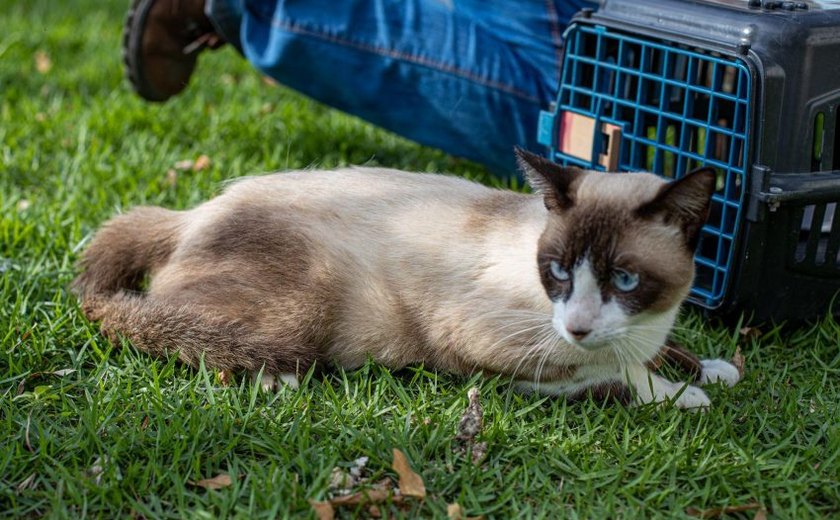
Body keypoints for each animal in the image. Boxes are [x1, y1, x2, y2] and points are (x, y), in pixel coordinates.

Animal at [74, 148, 740, 408]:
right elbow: (616, 375)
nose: (576, 326)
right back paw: (275, 378)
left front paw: (713, 369)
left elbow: (663, 353)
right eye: (555, 272)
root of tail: (190, 213)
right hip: (311, 296)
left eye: (624, 280)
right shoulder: (493, 350)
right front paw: (687, 396)